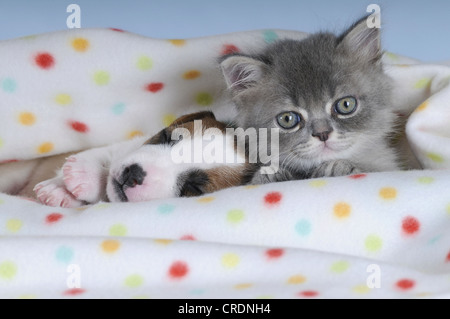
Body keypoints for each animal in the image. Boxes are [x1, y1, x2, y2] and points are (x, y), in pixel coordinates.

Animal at [0, 112, 253, 208]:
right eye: (167, 137)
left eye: (194, 188)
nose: (134, 173)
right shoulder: (119, 148)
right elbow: (102, 154)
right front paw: (73, 179)